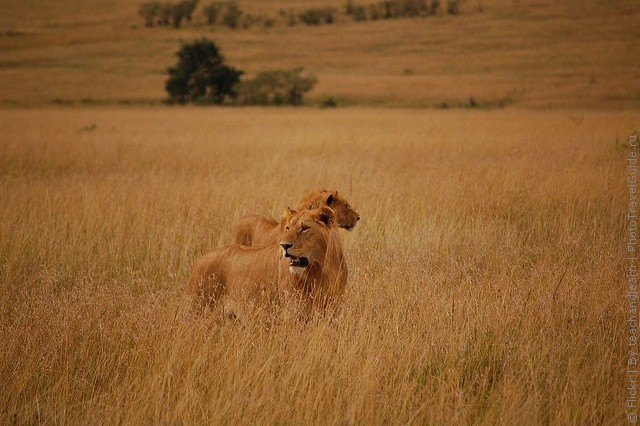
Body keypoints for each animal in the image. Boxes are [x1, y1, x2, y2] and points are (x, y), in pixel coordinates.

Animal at [189, 205, 348, 322]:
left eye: (305, 228)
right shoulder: (293, 314)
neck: (321, 271)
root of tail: (198, 260)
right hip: (199, 310)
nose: (284, 245)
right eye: (287, 228)